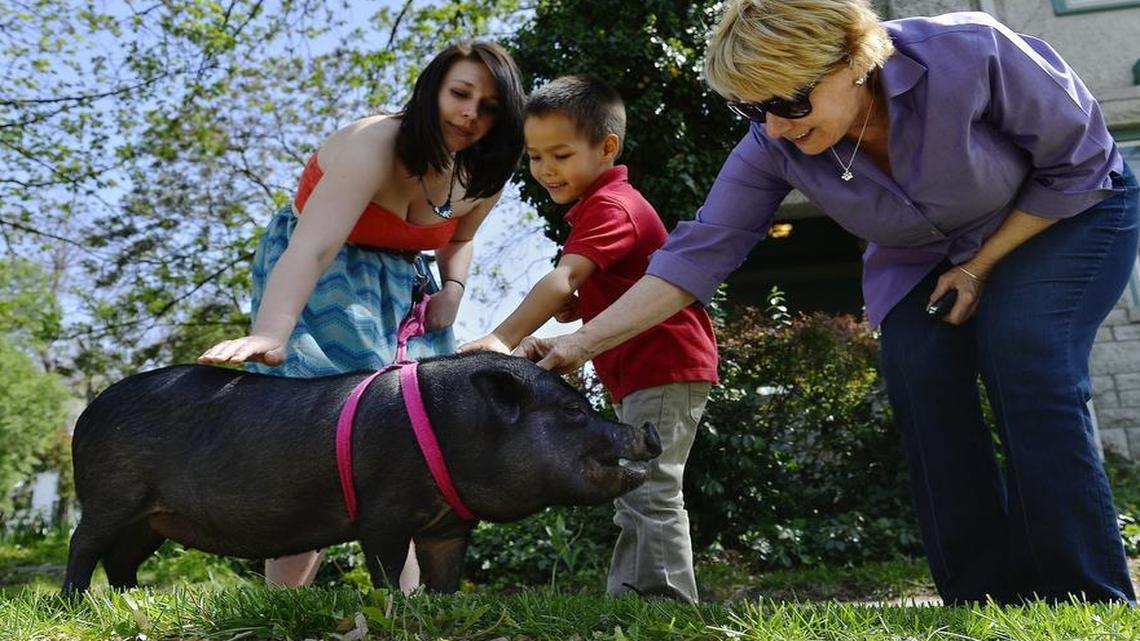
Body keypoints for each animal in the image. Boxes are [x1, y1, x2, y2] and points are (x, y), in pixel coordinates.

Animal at [62, 351, 661, 593]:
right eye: (573, 411)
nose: (648, 431)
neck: (457, 429)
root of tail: (86, 413)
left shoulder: (449, 526)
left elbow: (447, 574)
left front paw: (442, 604)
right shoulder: (384, 511)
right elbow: (387, 566)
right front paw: (397, 606)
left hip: (152, 518)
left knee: (121, 558)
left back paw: (132, 599)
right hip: (111, 493)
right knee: (82, 544)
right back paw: (76, 601)